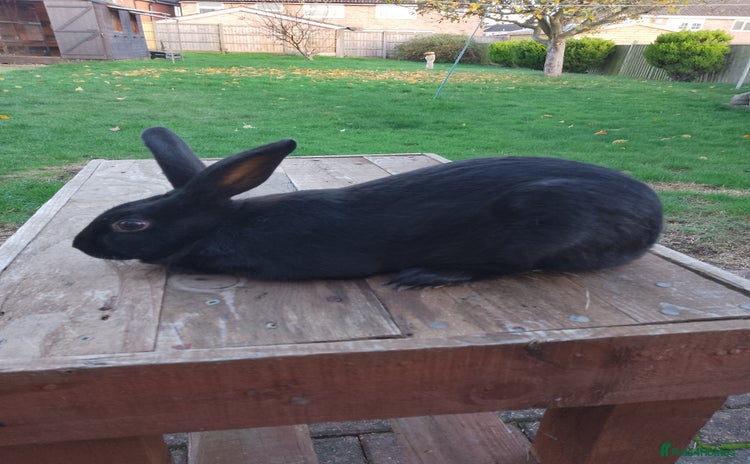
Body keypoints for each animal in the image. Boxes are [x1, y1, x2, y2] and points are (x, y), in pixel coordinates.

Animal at [73, 126, 663, 289]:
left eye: (130, 223)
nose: (79, 243)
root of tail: (654, 216)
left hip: (541, 221)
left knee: (504, 267)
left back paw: (426, 276)